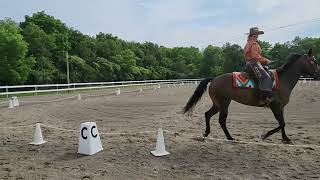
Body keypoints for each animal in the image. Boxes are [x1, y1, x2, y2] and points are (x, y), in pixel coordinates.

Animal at [184, 48, 318, 144]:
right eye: (314, 61)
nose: (319, 74)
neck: (282, 80)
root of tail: (214, 78)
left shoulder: (280, 107)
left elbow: (282, 123)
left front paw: (286, 138)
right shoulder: (275, 106)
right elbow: (282, 123)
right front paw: (265, 135)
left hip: (217, 104)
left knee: (208, 114)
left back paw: (206, 134)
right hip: (224, 104)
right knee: (221, 120)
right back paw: (230, 138)